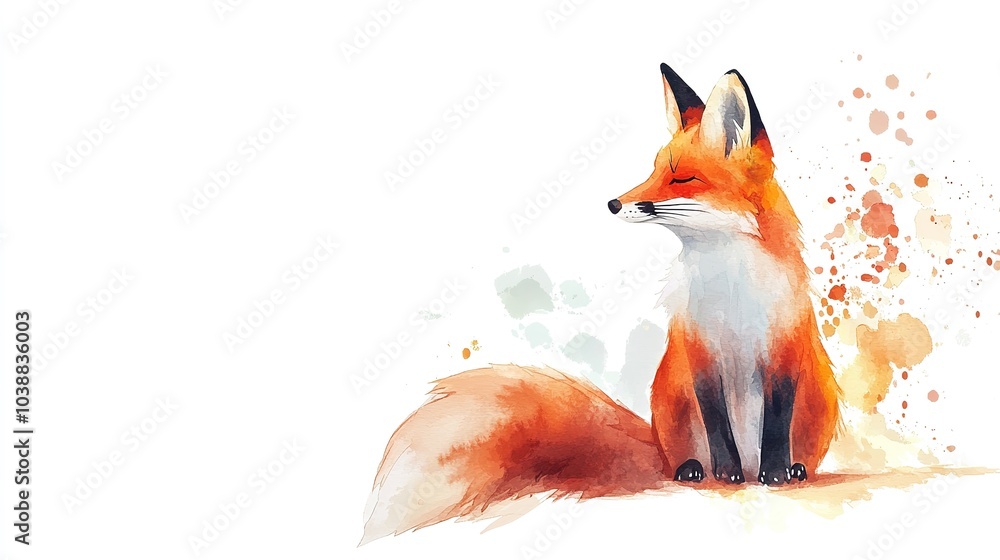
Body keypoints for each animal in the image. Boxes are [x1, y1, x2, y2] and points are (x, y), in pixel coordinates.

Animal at [362, 63, 841, 543]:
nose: (613, 203)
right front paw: (726, 473)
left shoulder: (784, 347)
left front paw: (776, 473)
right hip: (671, 400)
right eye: (652, 171)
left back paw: (791, 470)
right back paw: (694, 469)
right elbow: (716, 421)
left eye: (682, 179)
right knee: (684, 455)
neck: (731, 287)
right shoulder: (699, 349)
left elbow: (777, 419)